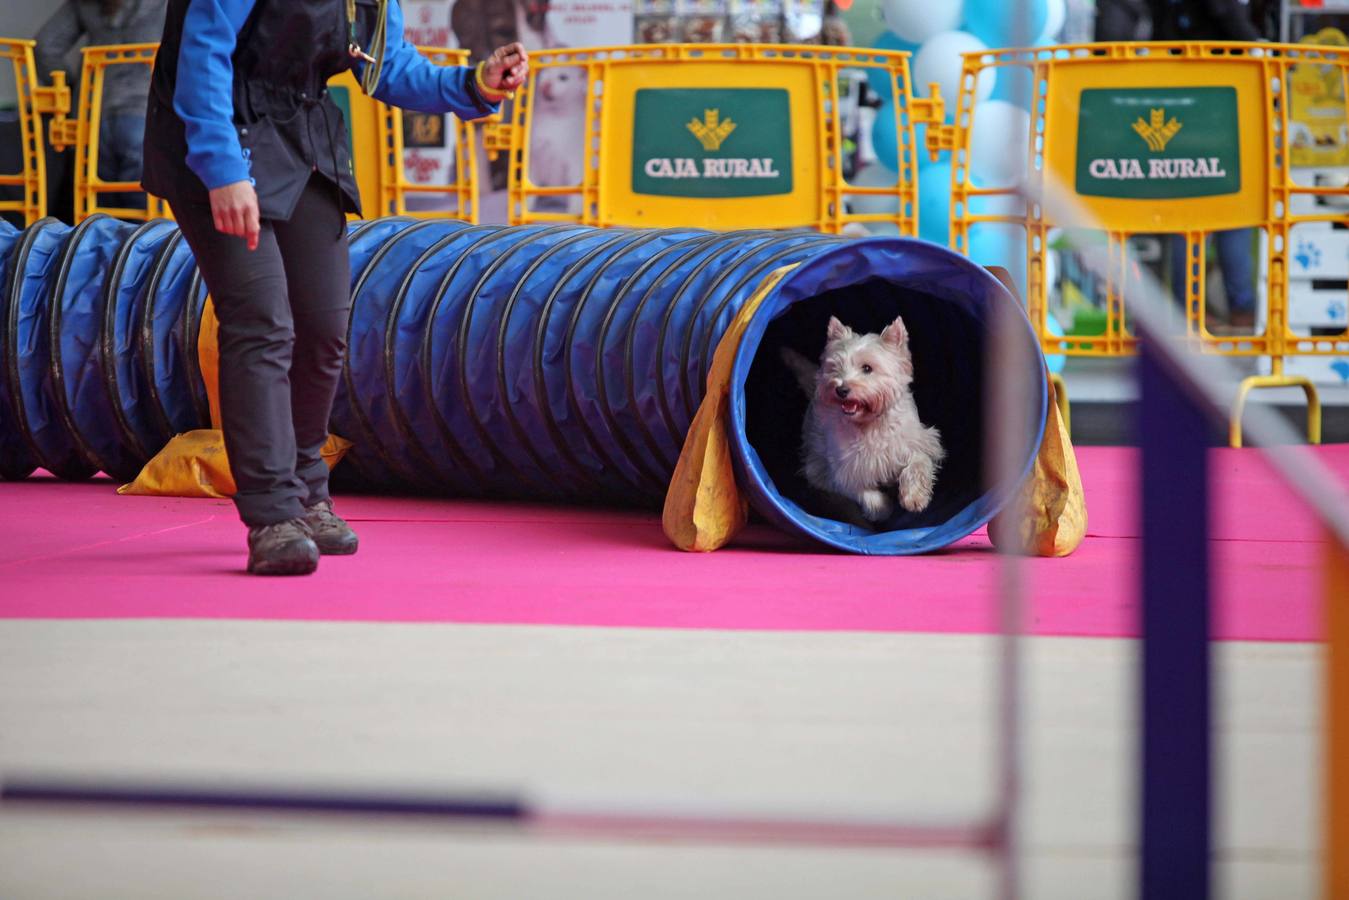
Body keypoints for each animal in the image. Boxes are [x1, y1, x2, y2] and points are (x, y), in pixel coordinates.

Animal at [782, 317, 949, 523]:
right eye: (835, 367)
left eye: (867, 368)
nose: (841, 390)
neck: (870, 424)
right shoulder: (843, 471)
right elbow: (866, 494)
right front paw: (883, 510)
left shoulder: (920, 441)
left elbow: (919, 461)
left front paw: (914, 497)